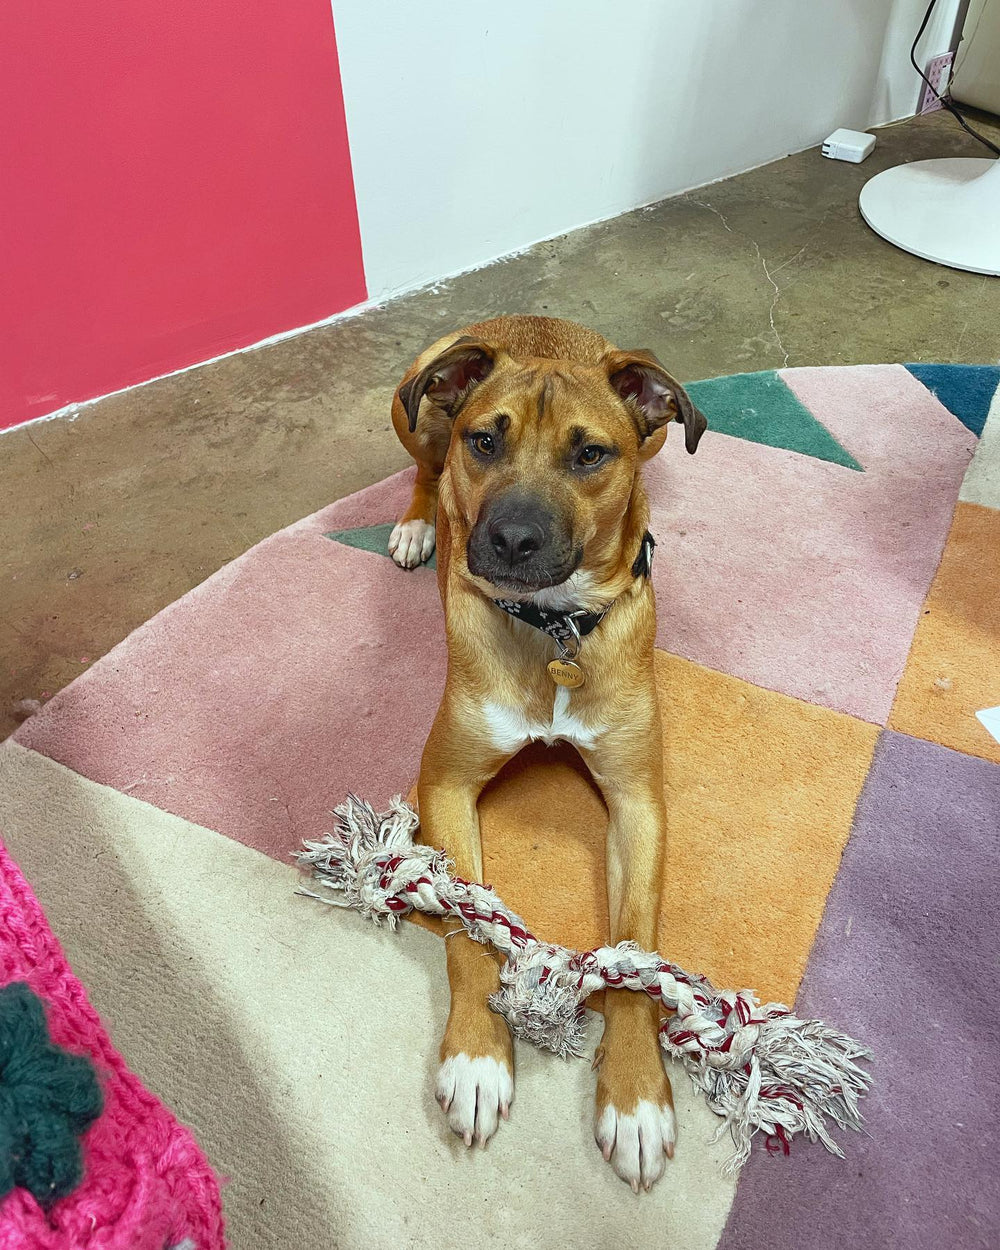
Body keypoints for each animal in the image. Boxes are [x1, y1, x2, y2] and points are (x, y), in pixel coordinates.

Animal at [387, 312, 705, 1190]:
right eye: (485, 441)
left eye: (590, 454)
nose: (509, 539)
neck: (553, 627)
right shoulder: (444, 782)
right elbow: (470, 925)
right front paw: (476, 1060)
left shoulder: (639, 802)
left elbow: (634, 952)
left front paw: (636, 1097)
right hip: (411, 406)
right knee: (422, 471)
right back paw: (419, 522)